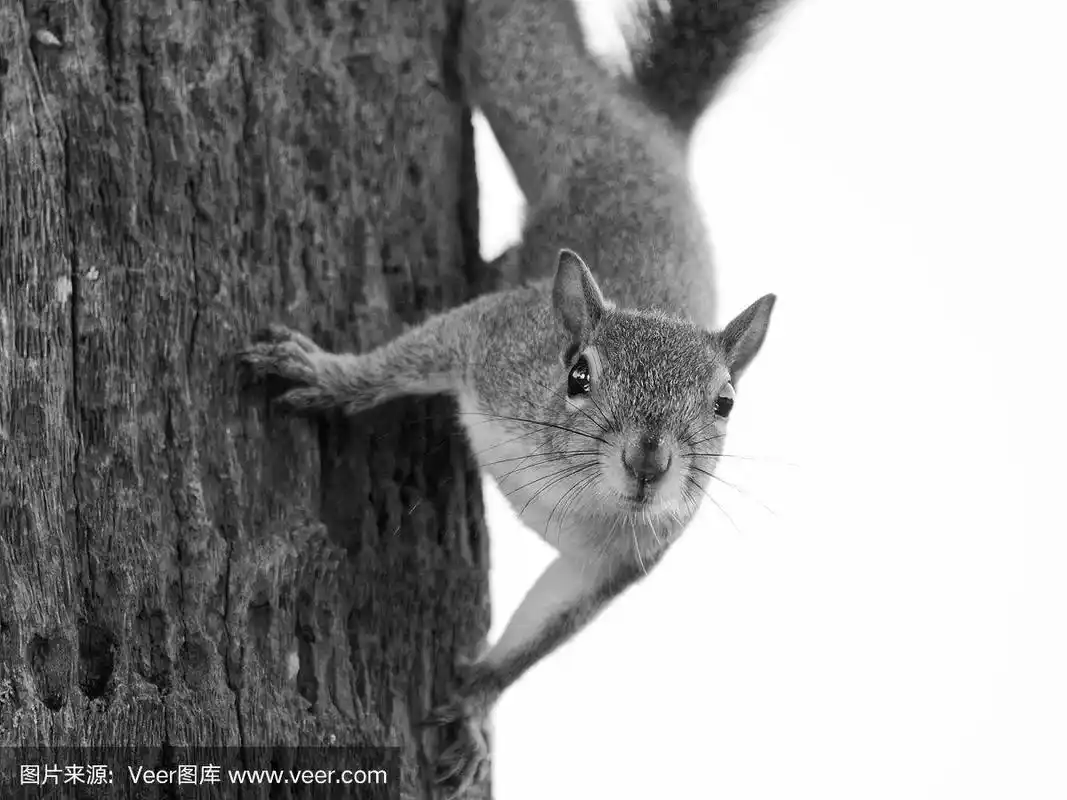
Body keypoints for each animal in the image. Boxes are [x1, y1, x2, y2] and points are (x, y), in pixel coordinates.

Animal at [240, 0, 776, 793]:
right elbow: (408, 356)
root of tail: (652, 132)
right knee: (511, 41)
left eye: (726, 404)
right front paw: (331, 374)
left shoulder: (615, 562)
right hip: (541, 96)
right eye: (576, 374)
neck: (577, 493)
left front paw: (473, 704)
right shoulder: (493, 345)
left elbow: (539, 633)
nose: (648, 464)